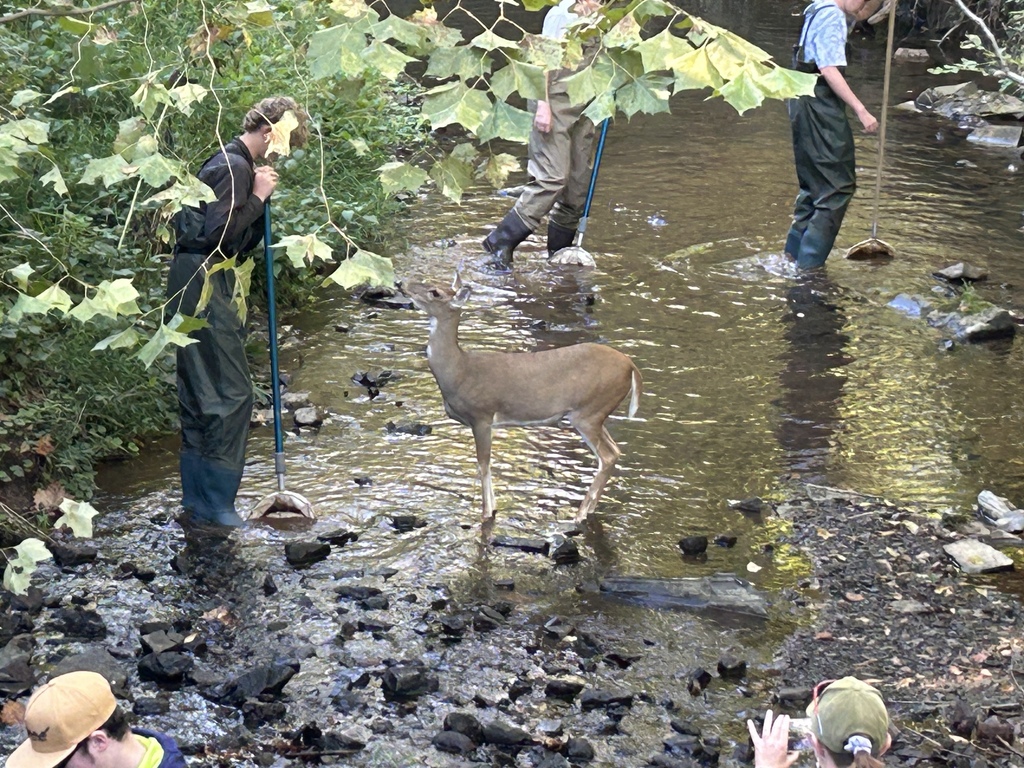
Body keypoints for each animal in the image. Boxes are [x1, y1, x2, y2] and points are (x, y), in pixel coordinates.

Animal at [403, 273, 642, 524]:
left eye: (435, 292)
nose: (402, 284)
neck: (460, 371)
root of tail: (631, 367)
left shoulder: (482, 416)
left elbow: (483, 463)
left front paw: (487, 512)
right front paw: (492, 508)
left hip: (588, 412)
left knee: (607, 456)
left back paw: (580, 515)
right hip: (597, 413)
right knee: (615, 450)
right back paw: (590, 509)